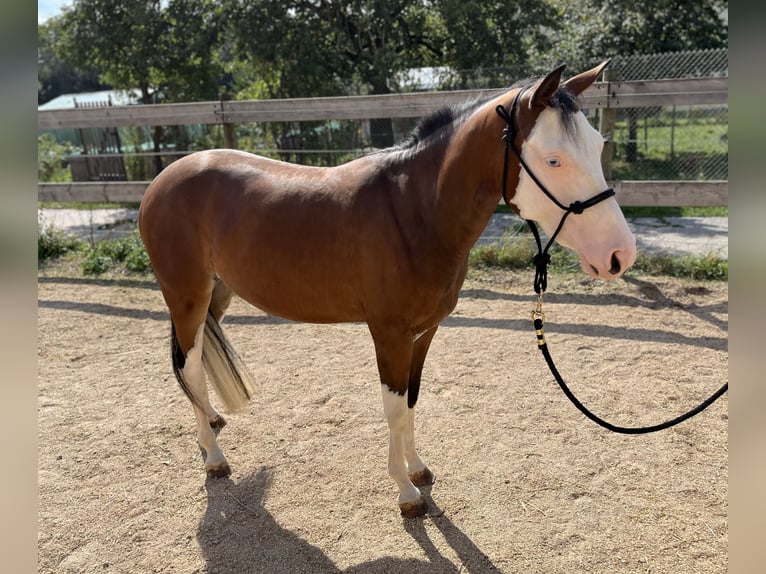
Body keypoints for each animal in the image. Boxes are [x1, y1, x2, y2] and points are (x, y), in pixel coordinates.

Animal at [141, 62, 640, 516]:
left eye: (597, 146)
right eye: (553, 159)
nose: (620, 255)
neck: (414, 211)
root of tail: (163, 180)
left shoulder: (424, 332)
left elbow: (413, 401)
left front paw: (418, 469)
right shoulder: (389, 334)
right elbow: (394, 409)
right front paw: (406, 492)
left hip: (218, 295)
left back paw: (212, 423)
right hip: (187, 297)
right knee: (189, 368)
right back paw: (214, 457)